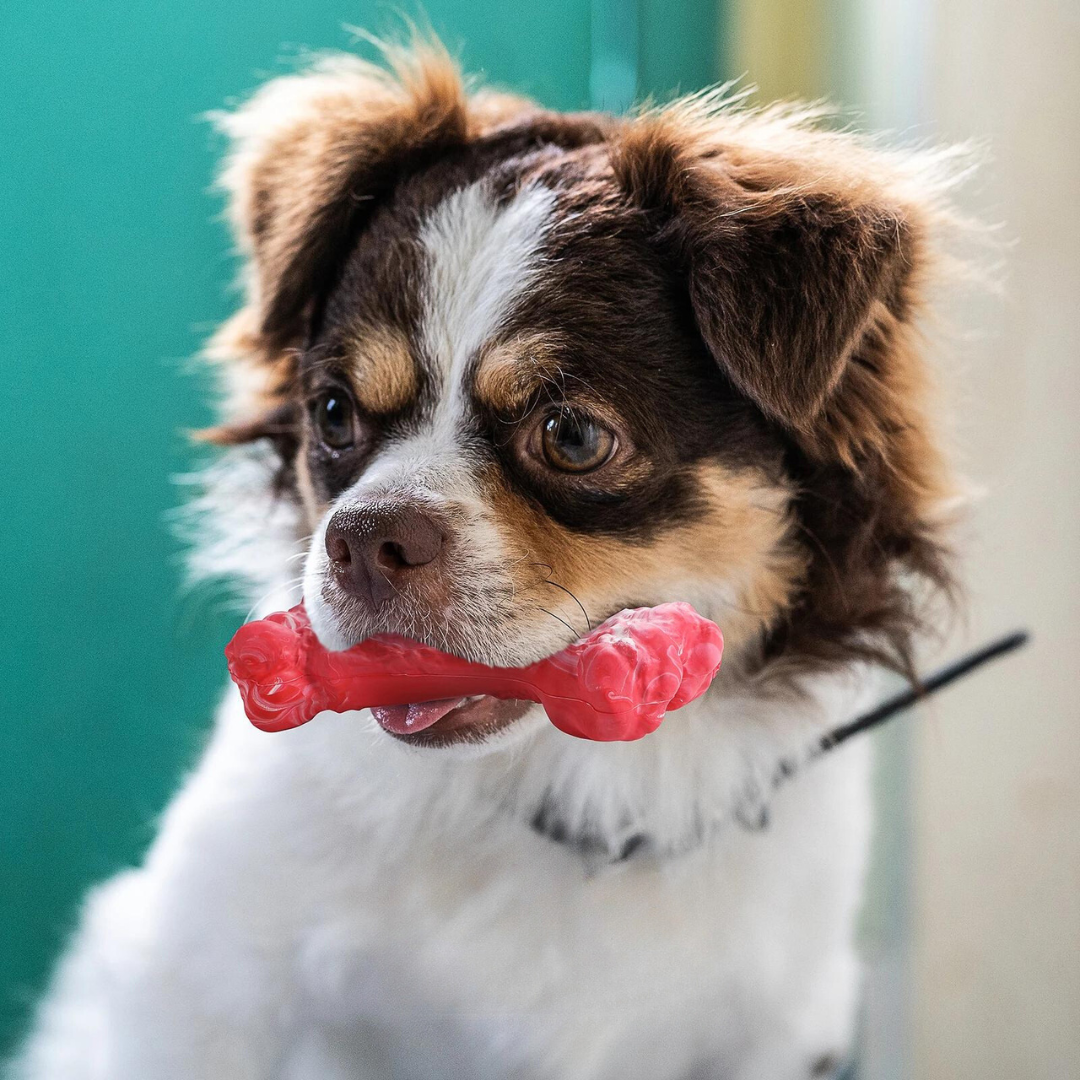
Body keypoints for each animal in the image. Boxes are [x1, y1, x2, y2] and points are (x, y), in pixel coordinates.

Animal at [10, 38, 972, 1080]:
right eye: (334, 414)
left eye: (573, 436)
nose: (363, 536)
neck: (551, 784)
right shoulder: (191, 978)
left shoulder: (781, 1029)